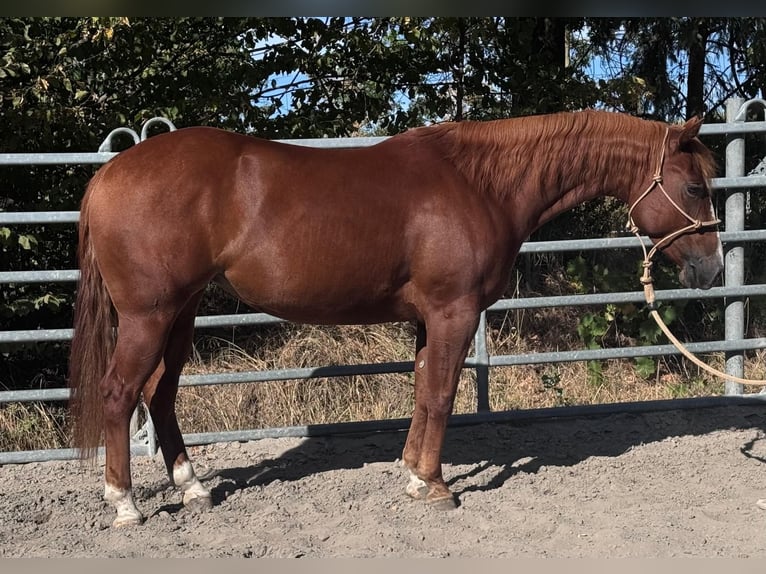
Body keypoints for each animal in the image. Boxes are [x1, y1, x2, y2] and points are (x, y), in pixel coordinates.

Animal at [68, 109, 721, 527]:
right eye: (694, 187)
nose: (712, 269)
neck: (480, 184)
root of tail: (110, 173)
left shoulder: (428, 319)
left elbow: (422, 391)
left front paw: (412, 474)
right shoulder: (454, 312)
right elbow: (443, 395)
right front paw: (436, 488)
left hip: (180, 314)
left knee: (160, 394)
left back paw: (194, 489)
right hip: (149, 316)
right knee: (120, 391)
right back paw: (124, 504)